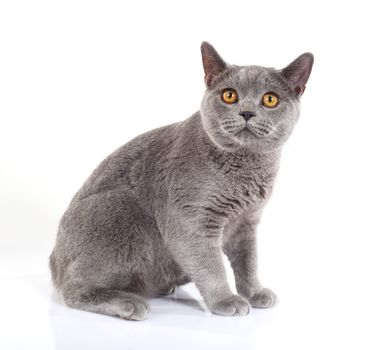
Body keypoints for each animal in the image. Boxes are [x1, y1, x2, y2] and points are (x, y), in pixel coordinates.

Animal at [49, 41, 314, 320]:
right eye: (229, 95)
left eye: (270, 99)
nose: (247, 112)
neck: (246, 169)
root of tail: (53, 260)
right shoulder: (191, 220)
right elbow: (211, 266)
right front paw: (225, 300)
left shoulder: (247, 222)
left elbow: (248, 263)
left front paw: (255, 293)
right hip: (119, 209)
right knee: (74, 288)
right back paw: (129, 303)